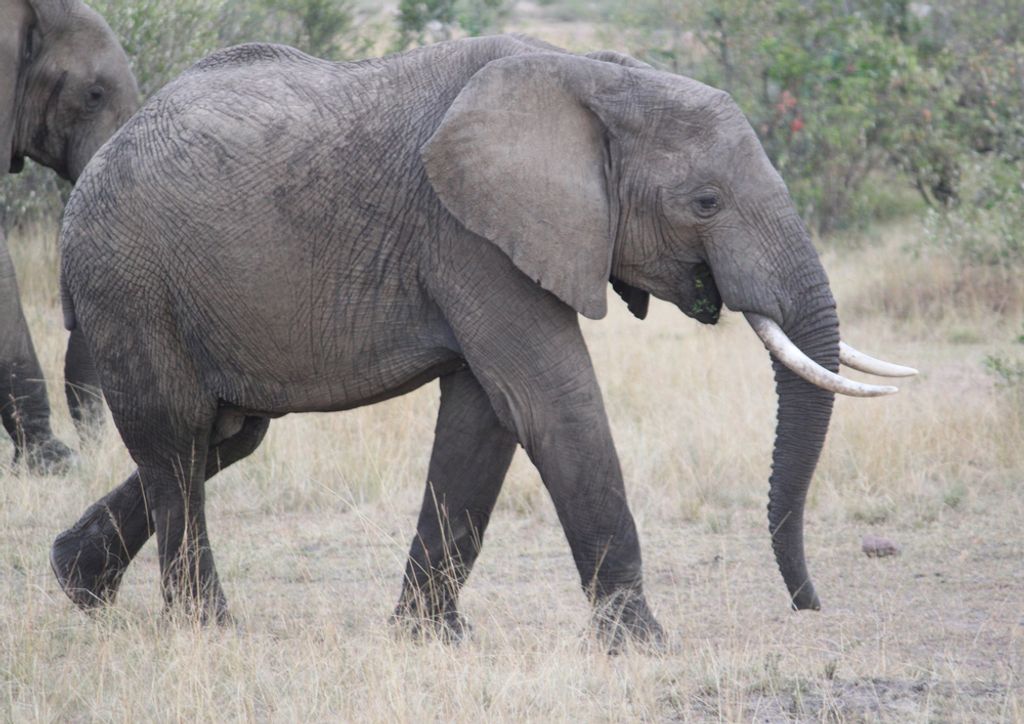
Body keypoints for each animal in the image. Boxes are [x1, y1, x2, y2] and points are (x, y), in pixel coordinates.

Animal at [49, 35, 915, 647]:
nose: (809, 605)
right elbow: (550, 398)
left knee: (224, 437)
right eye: (705, 202)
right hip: (127, 281)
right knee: (177, 440)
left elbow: (483, 422)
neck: (594, 77)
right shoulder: (467, 233)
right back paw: (207, 629)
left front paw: (431, 639)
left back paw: (75, 586)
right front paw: (643, 645)